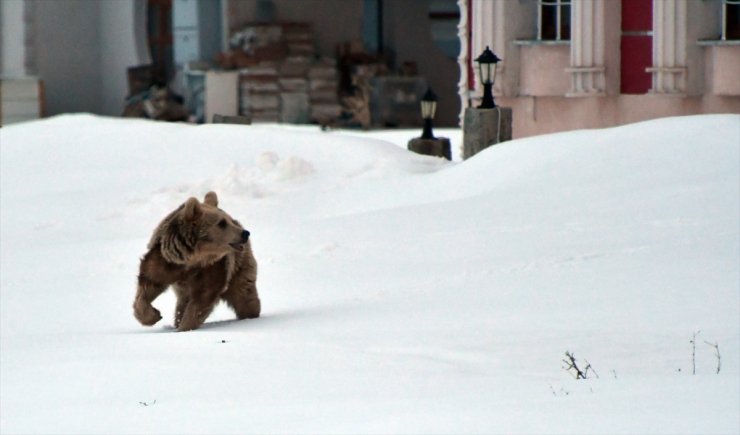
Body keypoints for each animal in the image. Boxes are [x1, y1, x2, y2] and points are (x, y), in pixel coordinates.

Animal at [133, 192, 260, 332]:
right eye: (222, 223)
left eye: (228, 221)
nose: (245, 233)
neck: (192, 259)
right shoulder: (164, 261)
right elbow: (148, 284)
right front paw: (154, 315)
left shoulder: (212, 269)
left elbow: (201, 300)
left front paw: (184, 327)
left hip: (239, 266)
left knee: (244, 295)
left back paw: (250, 314)